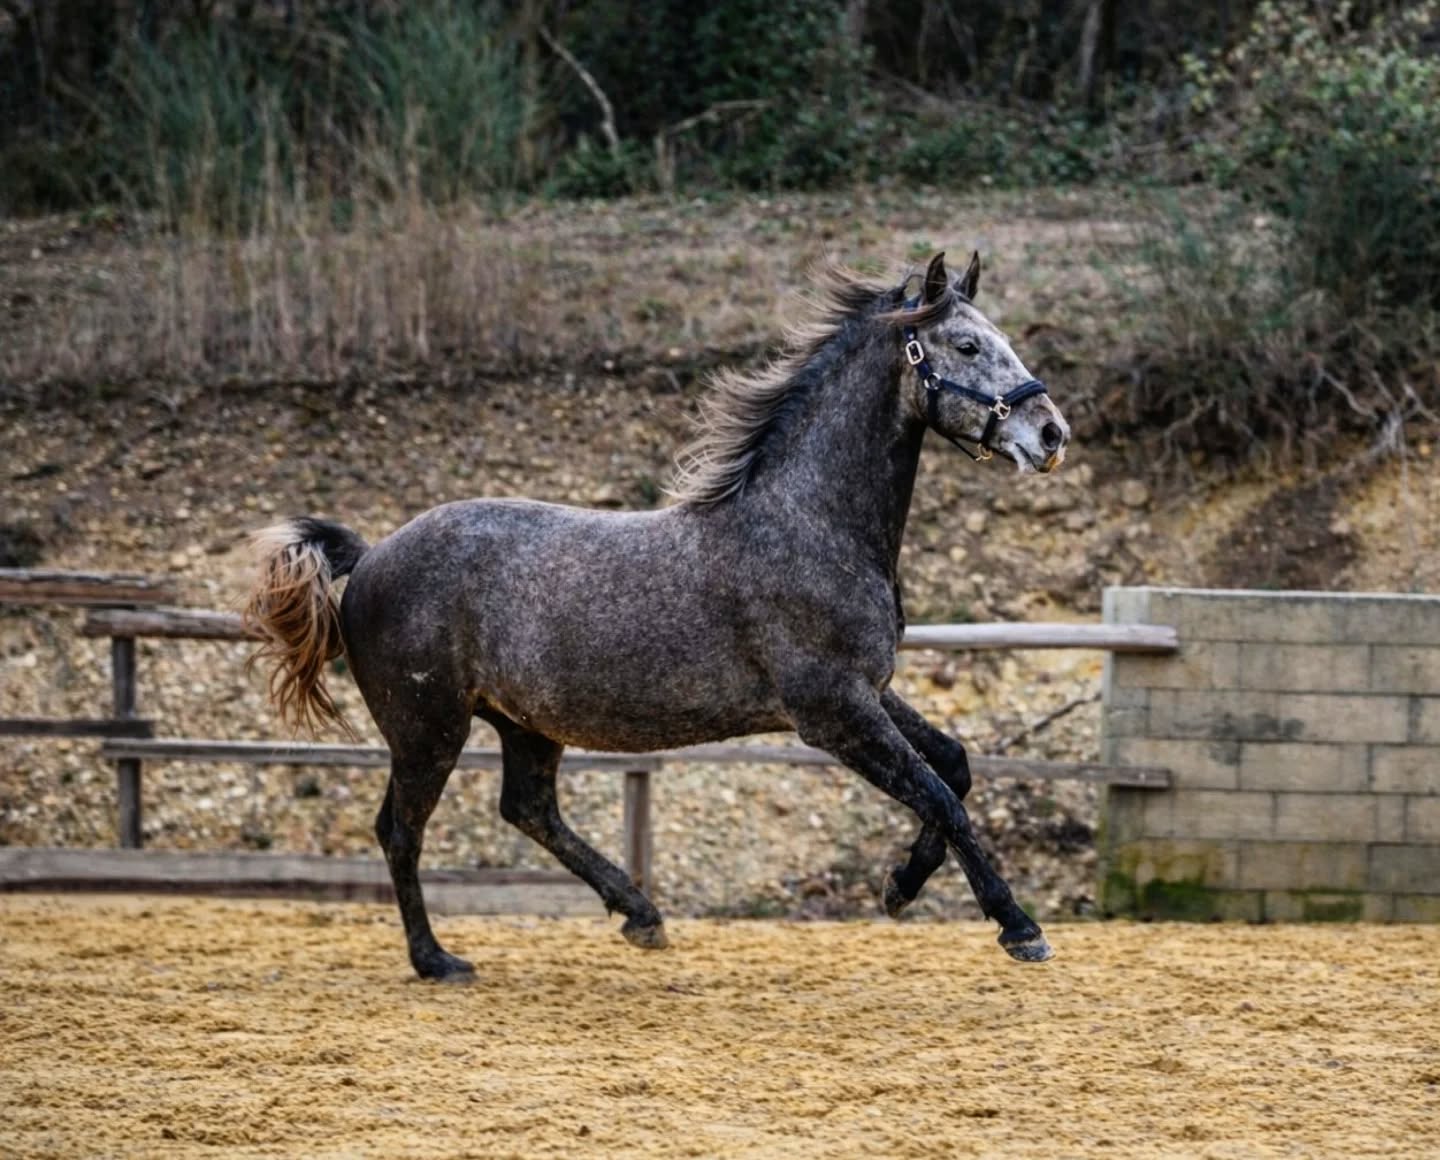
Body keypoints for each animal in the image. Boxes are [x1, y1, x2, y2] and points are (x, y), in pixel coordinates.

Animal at [244, 251, 1071, 980]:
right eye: (966, 344)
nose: (1051, 433)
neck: (808, 524)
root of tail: (370, 556)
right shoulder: (832, 711)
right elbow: (940, 794)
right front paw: (1017, 927)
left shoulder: (867, 691)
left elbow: (954, 767)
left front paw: (901, 886)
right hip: (427, 729)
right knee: (401, 831)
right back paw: (437, 961)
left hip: (523, 724)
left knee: (528, 809)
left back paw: (640, 915)